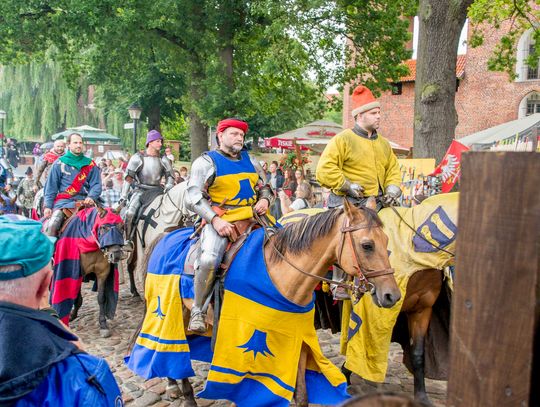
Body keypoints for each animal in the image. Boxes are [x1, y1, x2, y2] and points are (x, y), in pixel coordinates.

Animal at [47, 207, 125, 338]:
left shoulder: (102, 273)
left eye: (122, 227)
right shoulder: (76, 271)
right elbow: (74, 294)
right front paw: (70, 316)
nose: (116, 255)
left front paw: (103, 324)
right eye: (103, 227)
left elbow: (101, 298)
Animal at [131, 198, 400, 407]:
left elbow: (301, 396)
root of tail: (164, 235)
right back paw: (184, 393)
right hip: (173, 310)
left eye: (388, 242)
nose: (392, 296)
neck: (280, 272)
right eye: (367, 245)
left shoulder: (296, 339)